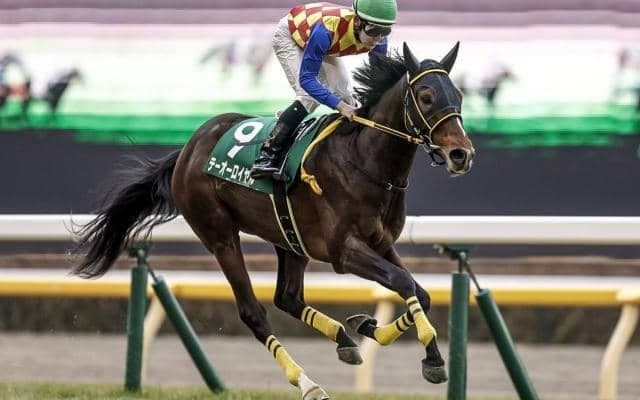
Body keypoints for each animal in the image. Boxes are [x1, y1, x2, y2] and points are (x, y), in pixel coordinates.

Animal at [72, 42, 474, 400]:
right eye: (425, 96)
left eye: (458, 95)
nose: (460, 154)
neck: (364, 161)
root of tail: (187, 149)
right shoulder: (344, 251)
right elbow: (403, 282)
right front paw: (430, 357)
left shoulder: (381, 242)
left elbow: (419, 291)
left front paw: (373, 327)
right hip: (219, 234)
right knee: (254, 311)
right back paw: (308, 383)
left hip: (288, 237)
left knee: (288, 298)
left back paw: (344, 339)